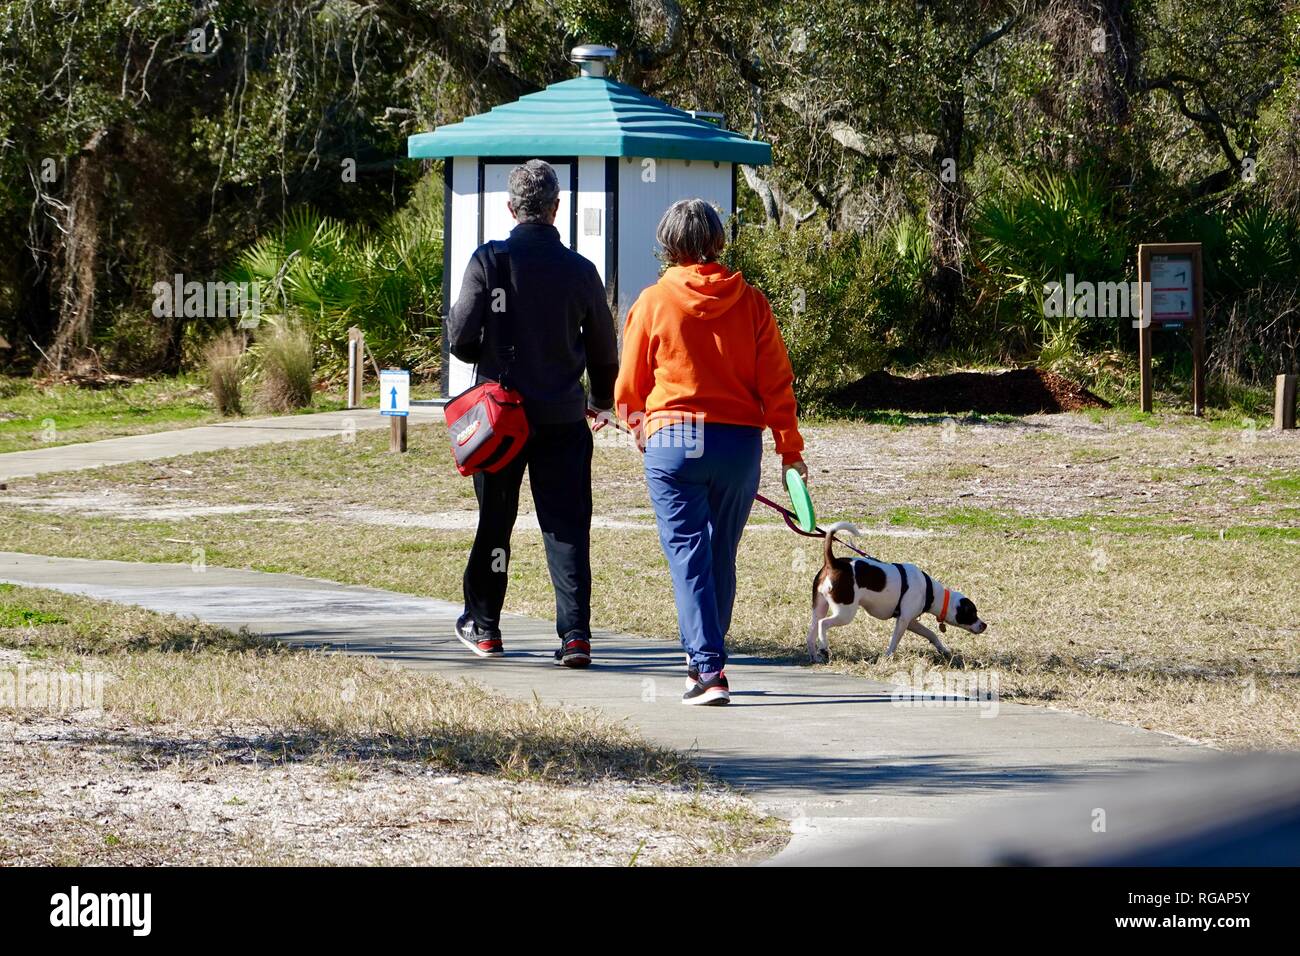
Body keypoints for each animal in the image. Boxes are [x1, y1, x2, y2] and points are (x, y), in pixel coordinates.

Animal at [800, 520, 982, 660]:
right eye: (972, 613)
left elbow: (931, 634)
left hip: (819, 608)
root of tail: (833, 563)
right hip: (845, 612)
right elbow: (894, 641)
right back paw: (824, 647)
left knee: (811, 634)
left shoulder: (911, 621)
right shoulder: (902, 621)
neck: (931, 591)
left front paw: (943, 650)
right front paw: (888, 656)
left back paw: (815, 657)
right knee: (823, 624)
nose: (984, 625)